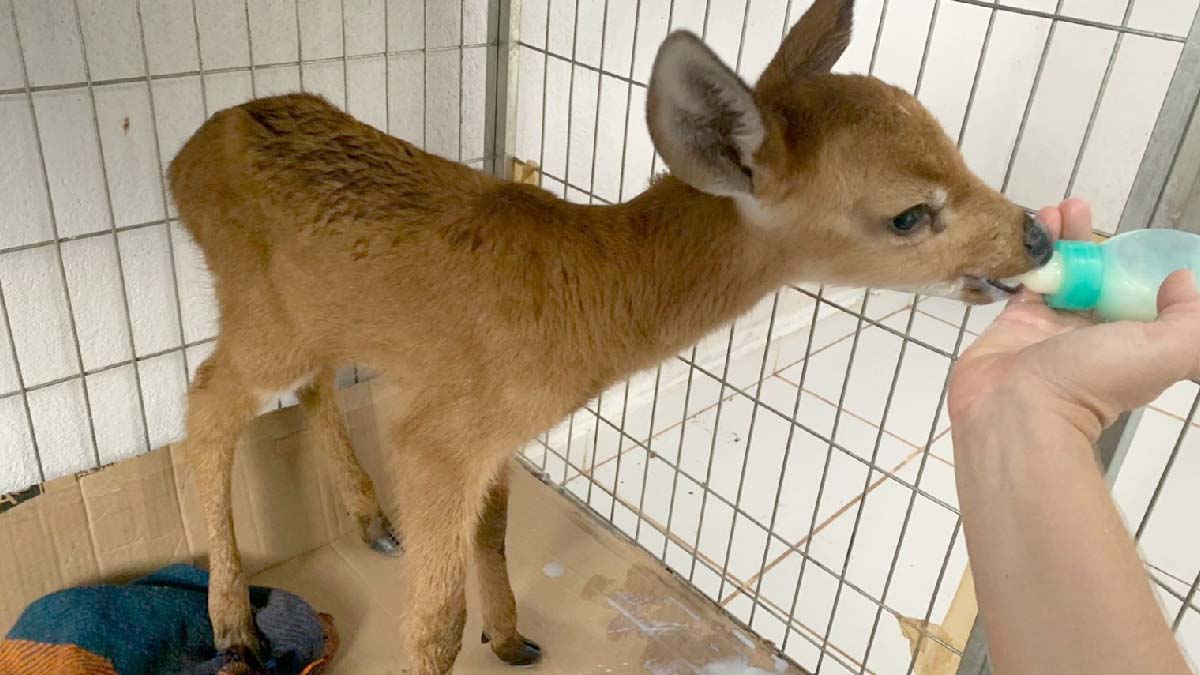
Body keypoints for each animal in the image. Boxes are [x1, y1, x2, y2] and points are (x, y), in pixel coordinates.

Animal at [166, 1, 1051, 672]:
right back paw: (234, 626)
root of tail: (183, 159)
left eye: (956, 148)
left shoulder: (487, 434)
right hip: (259, 311)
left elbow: (496, 529)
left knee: (305, 386)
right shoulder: (436, 436)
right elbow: (434, 622)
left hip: (306, 317)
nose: (1036, 235)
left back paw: (370, 520)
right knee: (206, 403)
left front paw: (511, 636)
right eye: (907, 213)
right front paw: (481, 630)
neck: (587, 297)